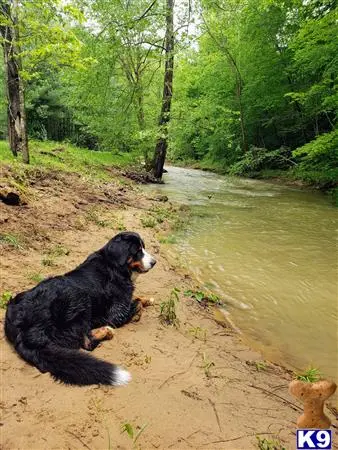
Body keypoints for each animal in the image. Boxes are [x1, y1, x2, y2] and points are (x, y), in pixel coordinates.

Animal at [4, 232, 156, 386]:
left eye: (143, 248)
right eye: (137, 251)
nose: (154, 262)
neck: (114, 266)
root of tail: (21, 327)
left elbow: (138, 298)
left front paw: (148, 299)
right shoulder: (117, 313)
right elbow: (136, 304)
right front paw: (138, 312)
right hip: (79, 298)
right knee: (86, 343)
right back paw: (106, 331)